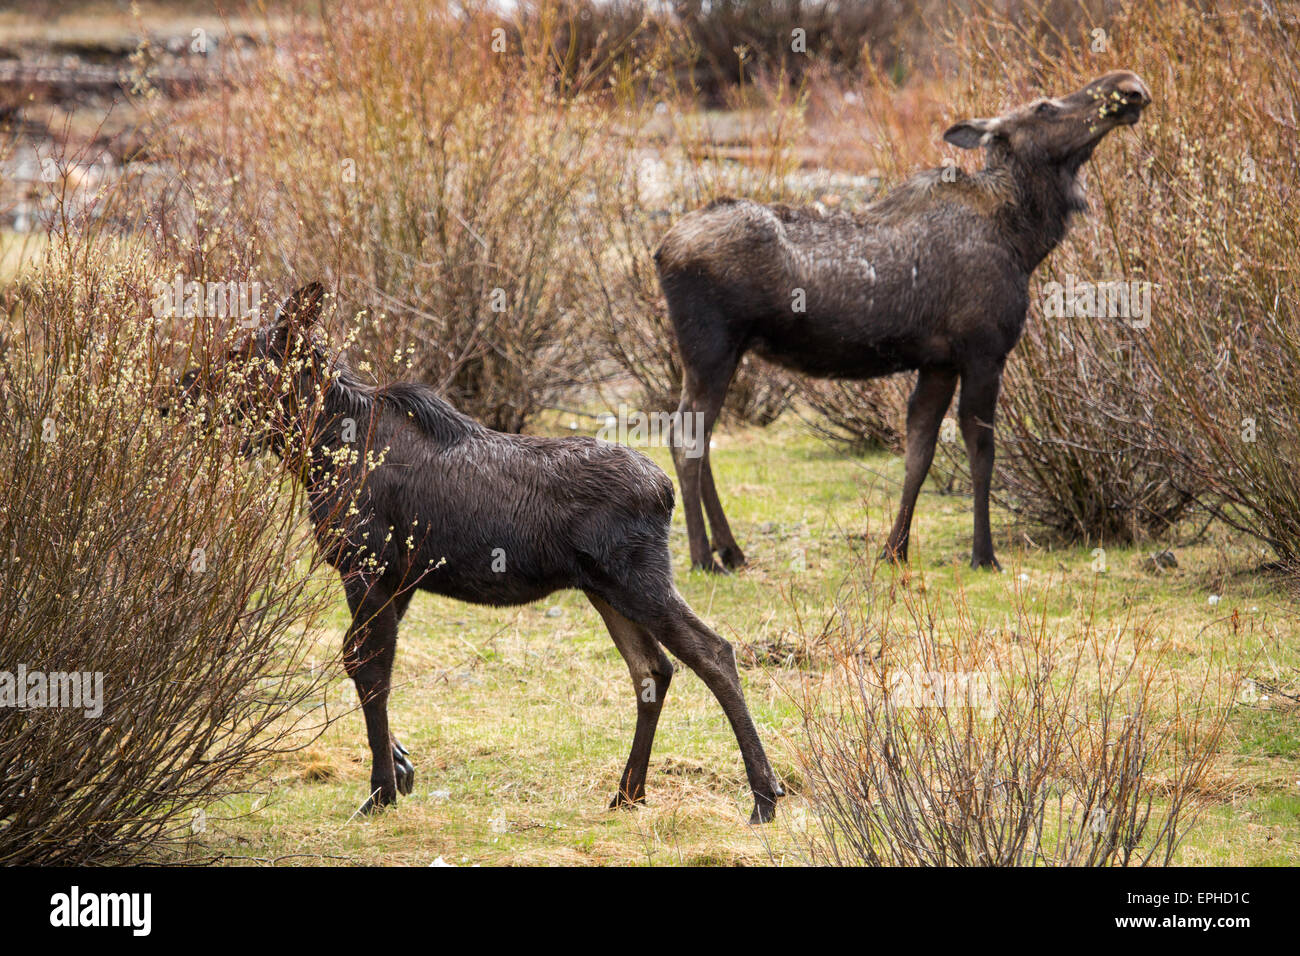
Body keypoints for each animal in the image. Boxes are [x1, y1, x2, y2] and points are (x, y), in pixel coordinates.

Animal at [172, 283, 780, 822]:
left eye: (237, 354)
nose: (173, 393)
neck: (315, 449)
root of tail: (664, 490)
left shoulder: (368, 567)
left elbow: (369, 666)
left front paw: (381, 791)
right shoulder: (399, 579)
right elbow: (357, 658)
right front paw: (401, 766)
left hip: (638, 580)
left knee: (714, 653)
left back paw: (763, 797)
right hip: (605, 590)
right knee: (652, 670)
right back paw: (628, 793)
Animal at [655, 72, 1154, 574]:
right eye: (1044, 107)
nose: (1130, 86)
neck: (1025, 239)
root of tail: (660, 250)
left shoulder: (938, 363)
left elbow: (919, 452)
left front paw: (894, 549)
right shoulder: (984, 351)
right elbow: (981, 451)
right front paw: (983, 554)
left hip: (723, 353)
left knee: (702, 437)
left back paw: (731, 549)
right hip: (710, 347)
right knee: (684, 437)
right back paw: (703, 556)